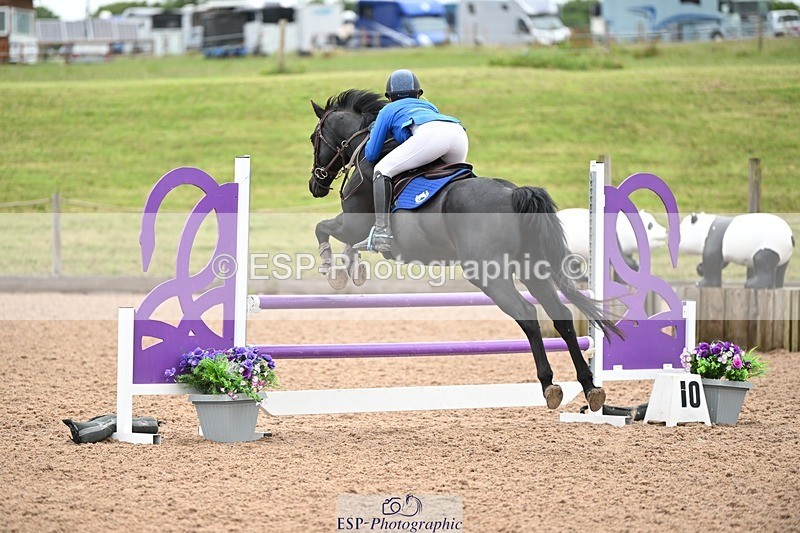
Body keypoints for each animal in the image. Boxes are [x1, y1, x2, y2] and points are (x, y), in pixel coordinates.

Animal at [307, 89, 621, 411]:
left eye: (313, 138)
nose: (314, 185)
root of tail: (514, 193)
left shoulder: (353, 223)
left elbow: (323, 228)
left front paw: (331, 270)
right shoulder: (354, 229)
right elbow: (343, 242)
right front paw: (350, 269)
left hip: (487, 274)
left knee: (527, 314)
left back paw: (549, 385)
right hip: (532, 268)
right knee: (561, 316)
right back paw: (590, 387)